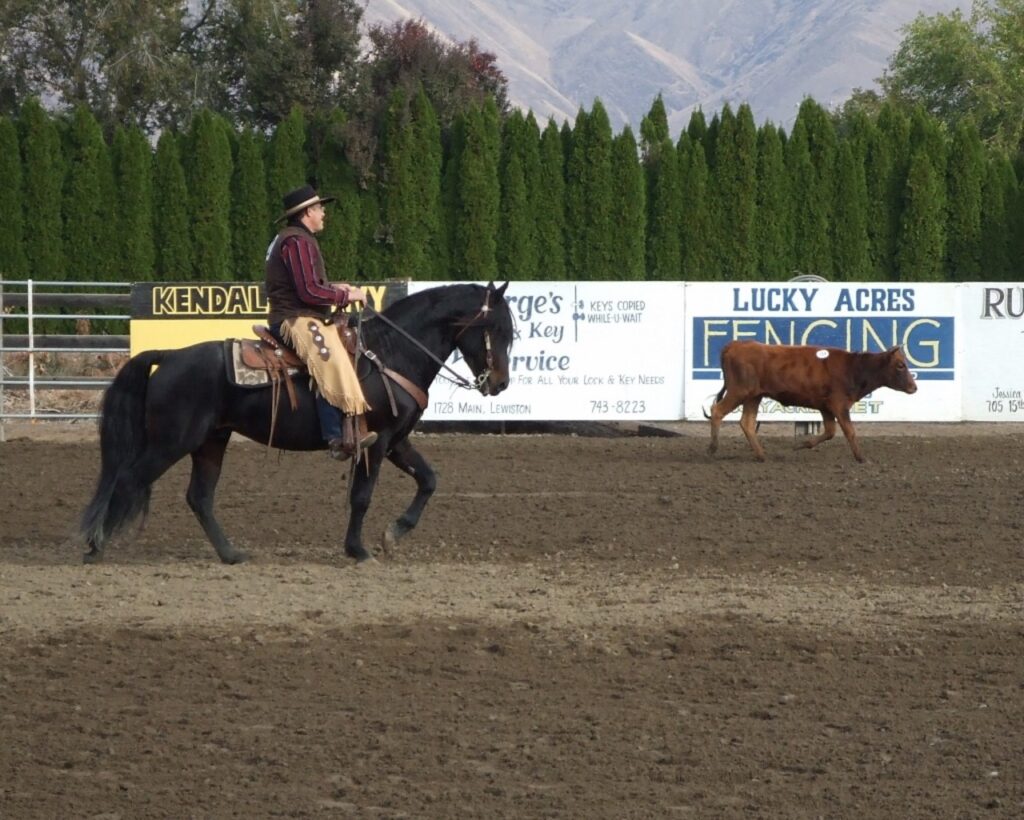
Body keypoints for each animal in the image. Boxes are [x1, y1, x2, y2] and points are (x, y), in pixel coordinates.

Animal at [79, 282, 514, 564]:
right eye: (496, 329)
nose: (500, 383)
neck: (391, 353)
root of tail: (170, 355)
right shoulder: (376, 442)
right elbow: (362, 496)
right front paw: (359, 550)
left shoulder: (395, 440)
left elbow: (429, 479)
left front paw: (393, 534)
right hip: (172, 441)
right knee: (128, 479)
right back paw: (94, 546)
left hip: (211, 441)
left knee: (199, 497)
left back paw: (231, 554)